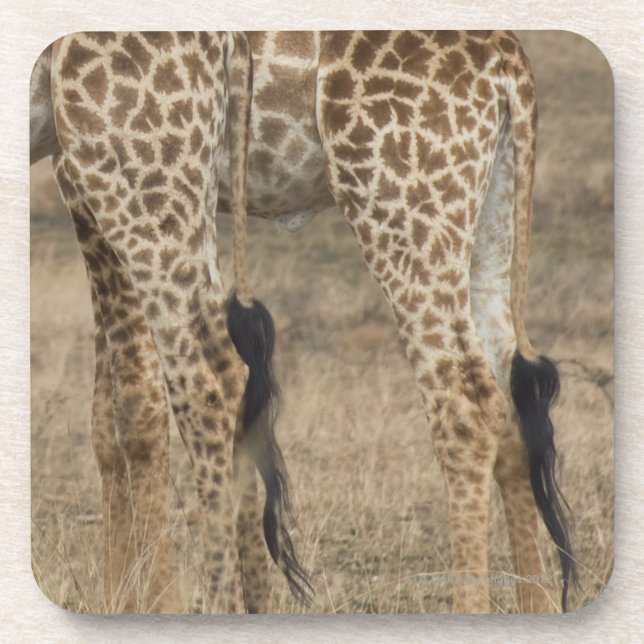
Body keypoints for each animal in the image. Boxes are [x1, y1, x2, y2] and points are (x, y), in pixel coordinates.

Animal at [30, 30, 576, 614]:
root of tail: (510, 63)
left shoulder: (85, 162)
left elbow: (135, 412)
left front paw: (147, 604)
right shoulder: (79, 169)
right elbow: (108, 418)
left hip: (387, 202)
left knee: (458, 397)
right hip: (489, 212)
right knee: (510, 396)